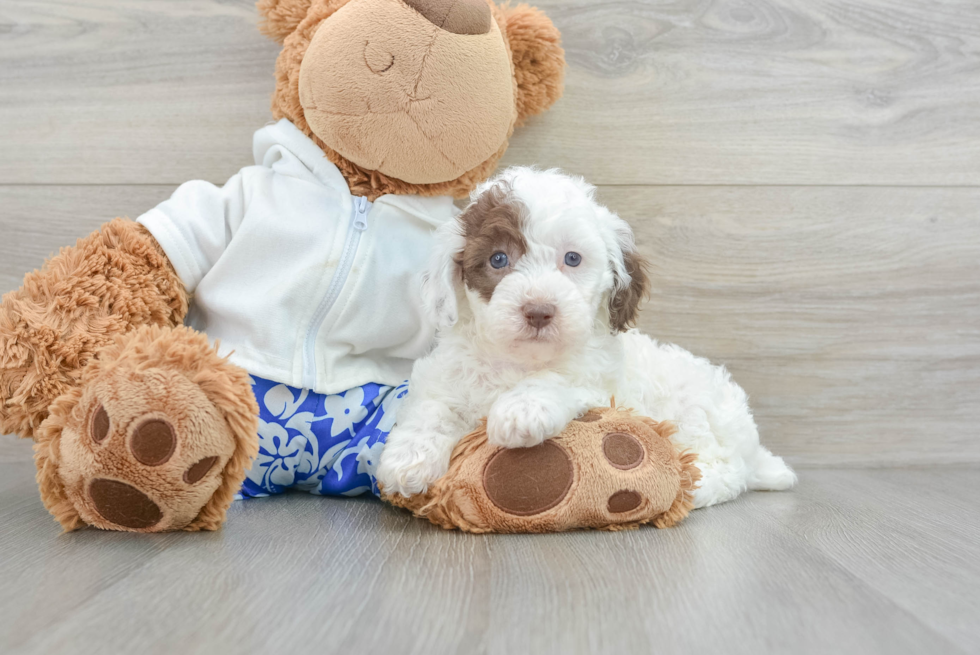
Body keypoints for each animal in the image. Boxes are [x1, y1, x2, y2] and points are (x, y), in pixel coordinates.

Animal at [376, 168, 796, 508]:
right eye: (498, 259)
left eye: (573, 259)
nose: (539, 311)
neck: (521, 361)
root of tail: (753, 447)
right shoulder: (446, 377)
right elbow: (432, 408)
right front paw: (407, 460)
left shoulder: (599, 383)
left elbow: (557, 379)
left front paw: (522, 409)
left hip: (697, 413)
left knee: (728, 470)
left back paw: (692, 484)